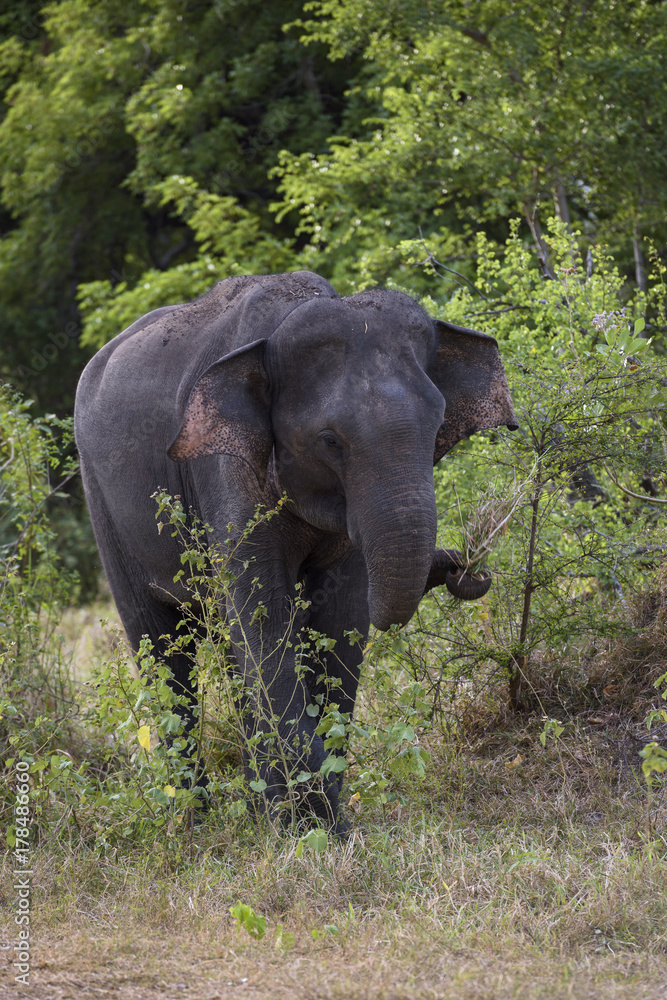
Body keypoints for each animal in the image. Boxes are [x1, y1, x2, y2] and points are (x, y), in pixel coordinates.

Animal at [74, 270, 517, 832]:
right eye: (329, 439)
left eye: (439, 425)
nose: (465, 565)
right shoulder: (224, 470)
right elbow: (266, 618)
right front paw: (309, 825)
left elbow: (340, 620)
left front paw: (319, 821)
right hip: (101, 499)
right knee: (162, 651)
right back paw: (194, 820)